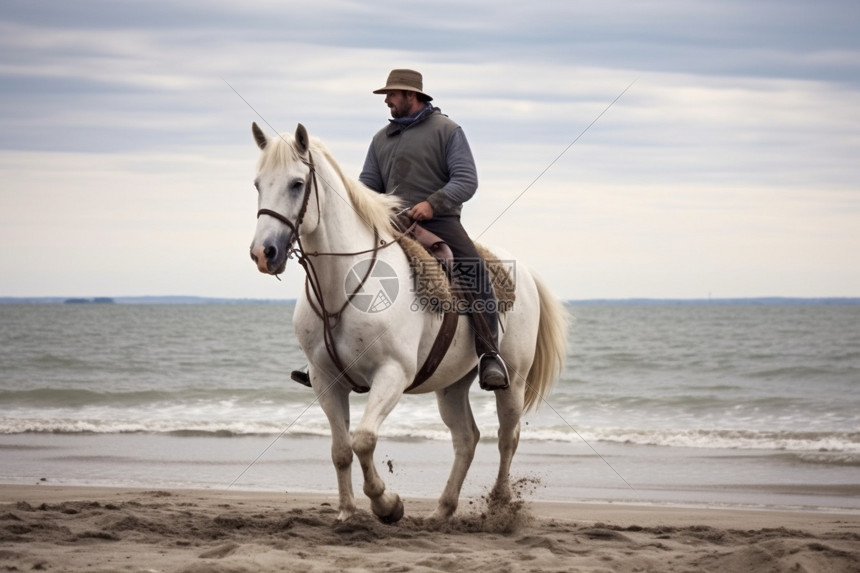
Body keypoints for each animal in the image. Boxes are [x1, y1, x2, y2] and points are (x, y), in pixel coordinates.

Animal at [249, 122, 568, 524]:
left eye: (296, 183)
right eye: (258, 184)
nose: (264, 253)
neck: (343, 285)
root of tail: (524, 271)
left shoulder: (392, 374)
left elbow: (363, 440)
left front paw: (387, 505)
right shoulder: (326, 381)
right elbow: (341, 449)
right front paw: (347, 513)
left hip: (513, 378)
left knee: (506, 437)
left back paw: (498, 503)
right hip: (451, 385)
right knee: (467, 438)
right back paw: (443, 509)